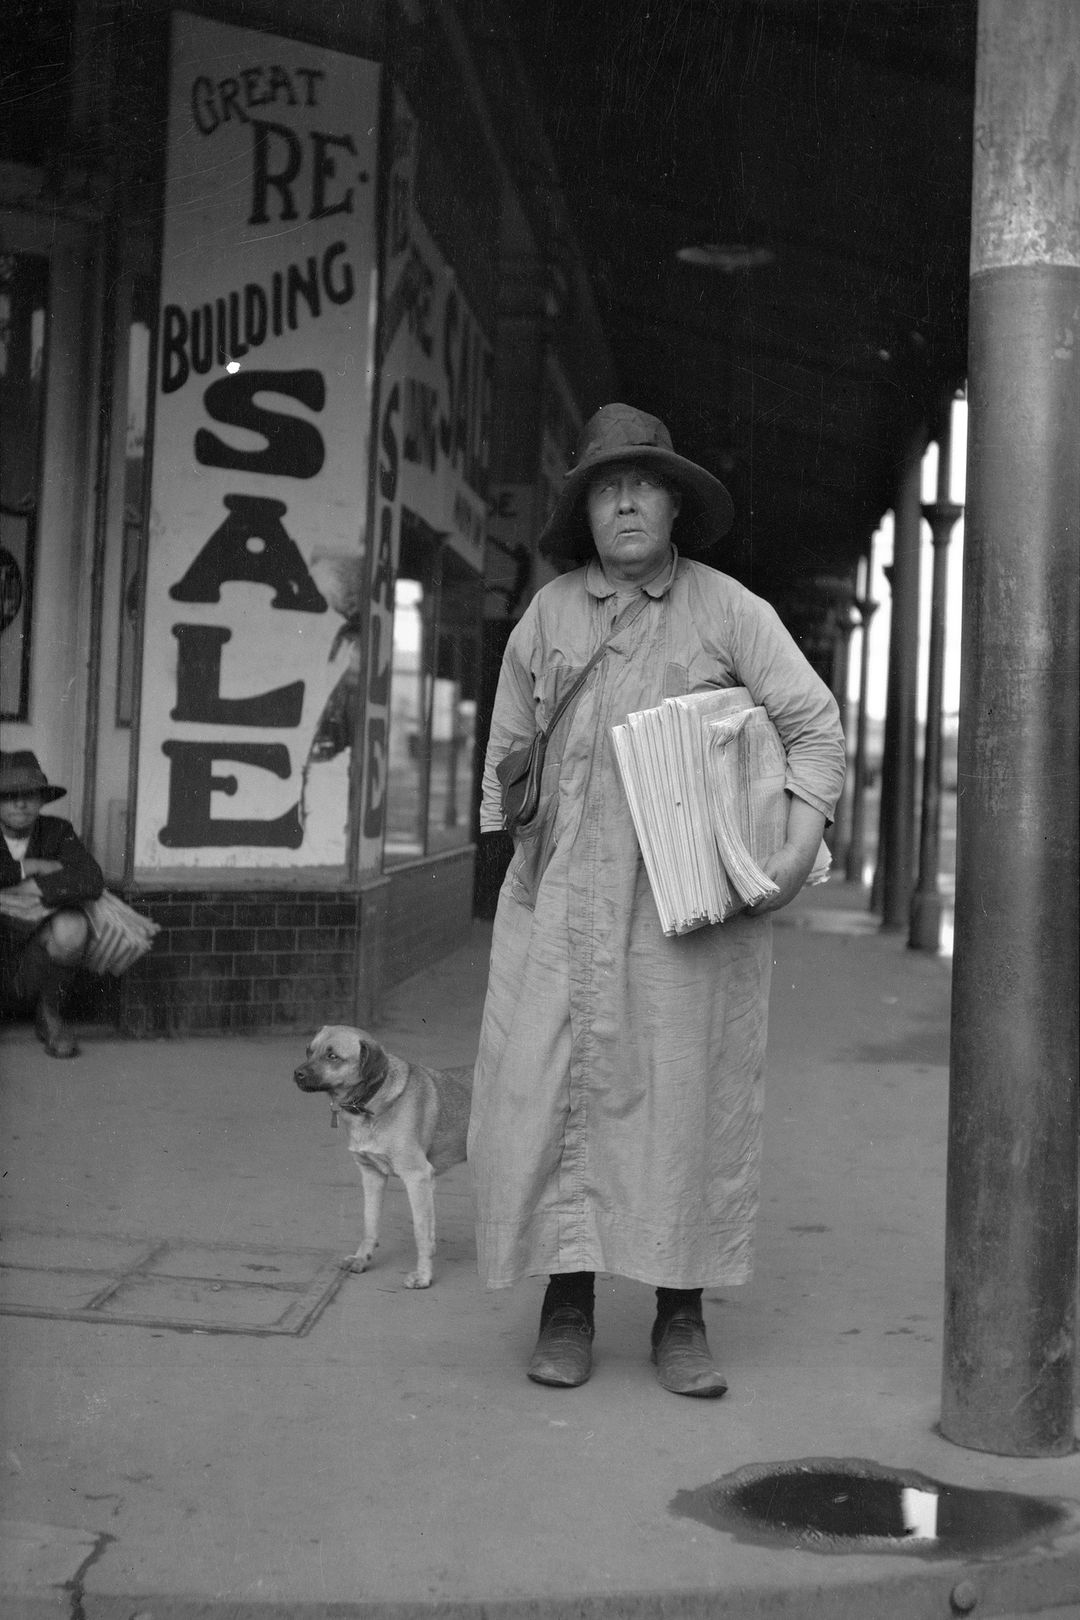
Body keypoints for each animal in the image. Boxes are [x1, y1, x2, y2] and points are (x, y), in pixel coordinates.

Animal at [293, 1025, 472, 1288]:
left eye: (332, 1056)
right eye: (309, 1050)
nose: (297, 1074)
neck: (372, 1102)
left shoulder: (418, 1178)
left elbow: (422, 1233)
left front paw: (423, 1276)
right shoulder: (372, 1175)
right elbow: (370, 1224)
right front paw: (362, 1259)